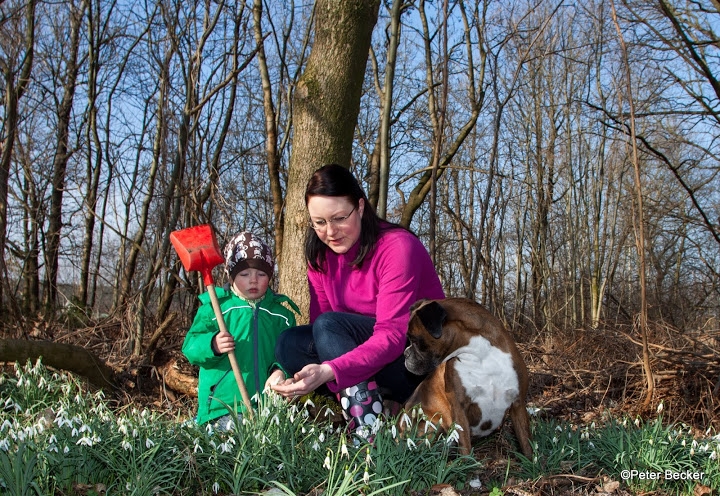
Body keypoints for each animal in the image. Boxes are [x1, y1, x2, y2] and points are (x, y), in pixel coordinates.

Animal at [402, 298, 532, 458]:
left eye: (414, 340)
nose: (405, 354)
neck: (481, 356)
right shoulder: (460, 407)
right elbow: (464, 444)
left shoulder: (518, 404)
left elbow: (526, 442)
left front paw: (532, 463)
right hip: (430, 423)